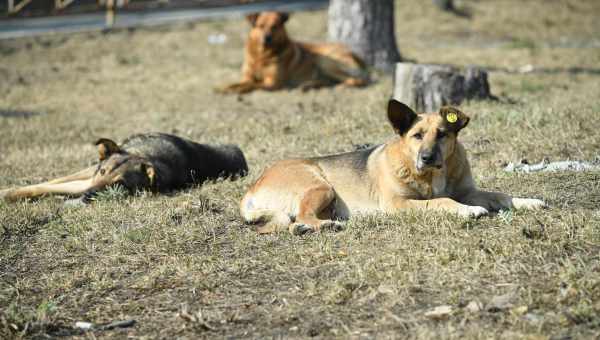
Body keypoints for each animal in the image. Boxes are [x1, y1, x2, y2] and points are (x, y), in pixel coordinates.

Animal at [216, 11, 366, 93]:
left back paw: (341, 86)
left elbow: (252, 85)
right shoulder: (246, 77)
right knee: (327, 81)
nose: (267, 38)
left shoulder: (272, 83)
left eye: (275, 26)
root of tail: (352, 52)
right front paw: (223, 88)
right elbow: (238, 83)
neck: (262, 56)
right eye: (260, 26)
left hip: (325, 61)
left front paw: (237, 90)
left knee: (356, 80)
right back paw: (307, 86)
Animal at [240, 99, 548, 235]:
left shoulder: (468, 191)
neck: (432, 174)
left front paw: (529, 201)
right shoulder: (399, 203)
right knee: (301, 217)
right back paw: (328, 225)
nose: (427, 157)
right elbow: (442, 201)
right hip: (320, 185)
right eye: (417, 136)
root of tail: (253, 187)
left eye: (443, 134)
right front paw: (468, 211)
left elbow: (501, 195)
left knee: (296, 222)